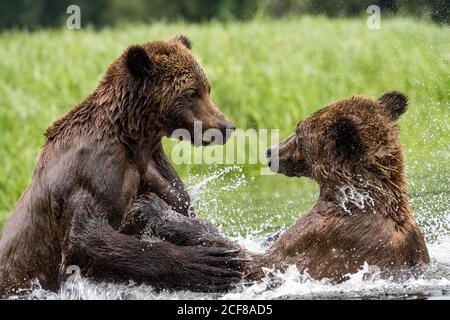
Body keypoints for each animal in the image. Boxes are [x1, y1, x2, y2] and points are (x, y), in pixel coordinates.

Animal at [0, 35, 243, 298]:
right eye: (191, 92)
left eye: (208, 88)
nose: (225, 126)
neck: (134, 140)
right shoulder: (93, 171)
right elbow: (86, 238)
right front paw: (206, 263)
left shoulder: (154, 168)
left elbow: (178, 206)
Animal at [134, 92, 432, 282]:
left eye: (299, 131)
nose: (270, 151)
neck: (353, 196)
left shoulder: (329, 238)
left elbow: (258, 262)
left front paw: (154, 207)